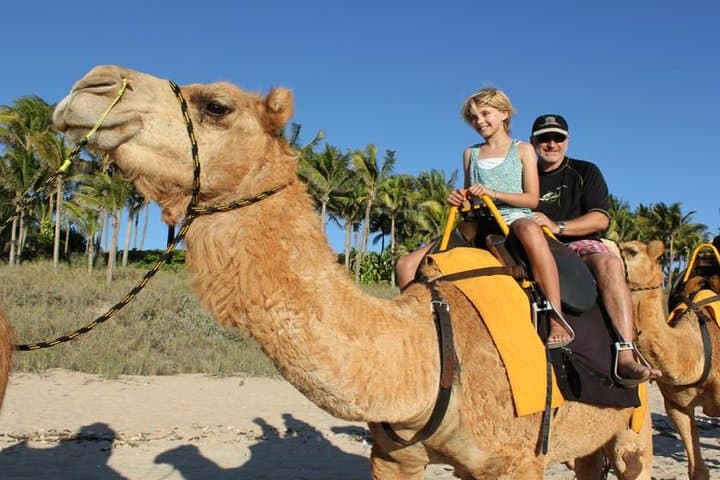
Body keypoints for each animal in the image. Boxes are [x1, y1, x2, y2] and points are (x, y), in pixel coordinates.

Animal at [53, 65, 651, 479]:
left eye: (217, 105)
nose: (91, 85)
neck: (427, 350)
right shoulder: (393, 457)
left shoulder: (516, 460)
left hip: (634, 428)